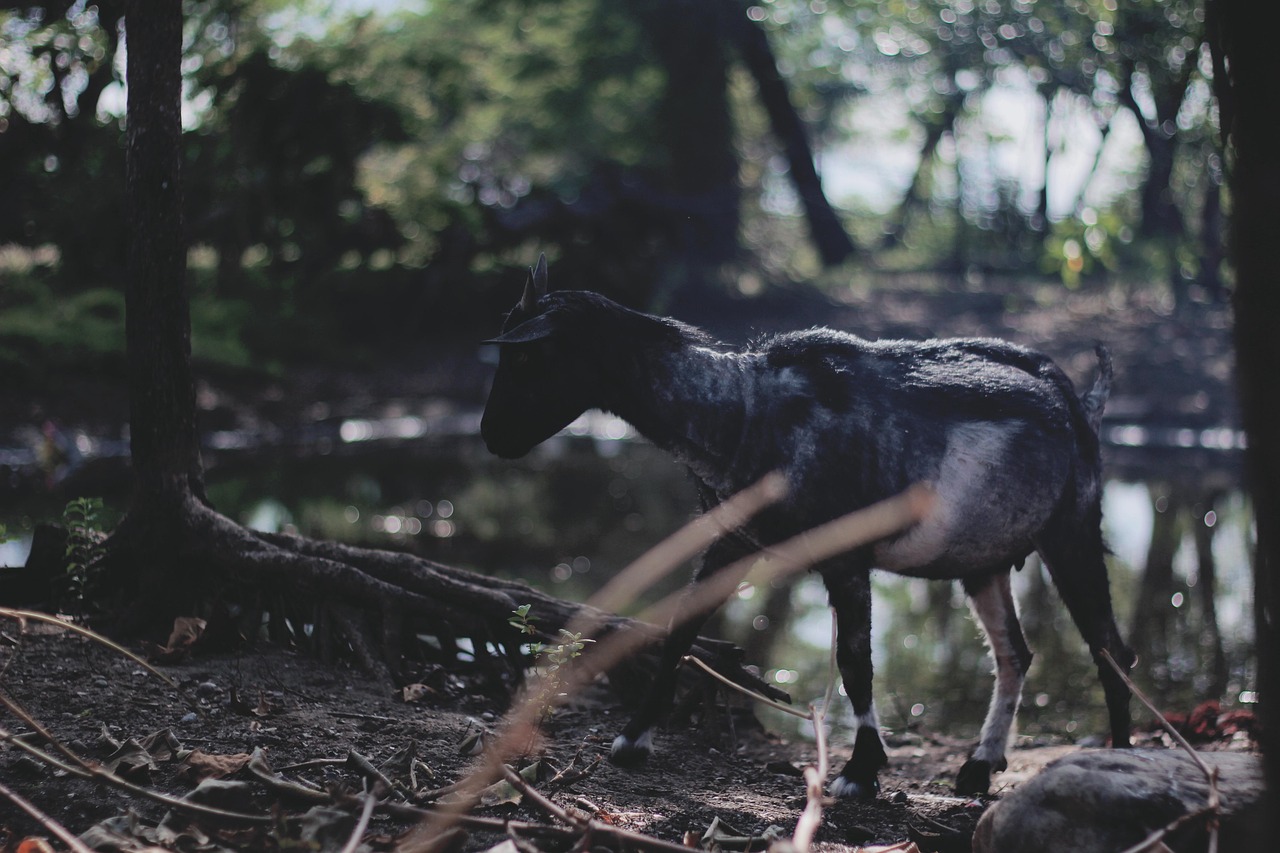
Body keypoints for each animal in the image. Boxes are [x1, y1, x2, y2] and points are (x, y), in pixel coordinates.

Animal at [481, 256, 1131, 794]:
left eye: (525, 355)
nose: (491, 438)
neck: (743, 411)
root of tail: (1079, 400)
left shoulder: (846, 557)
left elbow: (854, 662)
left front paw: (860, 772)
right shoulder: (732, 540)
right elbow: (680, 629)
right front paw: (631, 739)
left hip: (1071, 527)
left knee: (1111, 649)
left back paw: (1120, 758)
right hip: (985, 559)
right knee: (1015, 654)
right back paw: (978, 767)